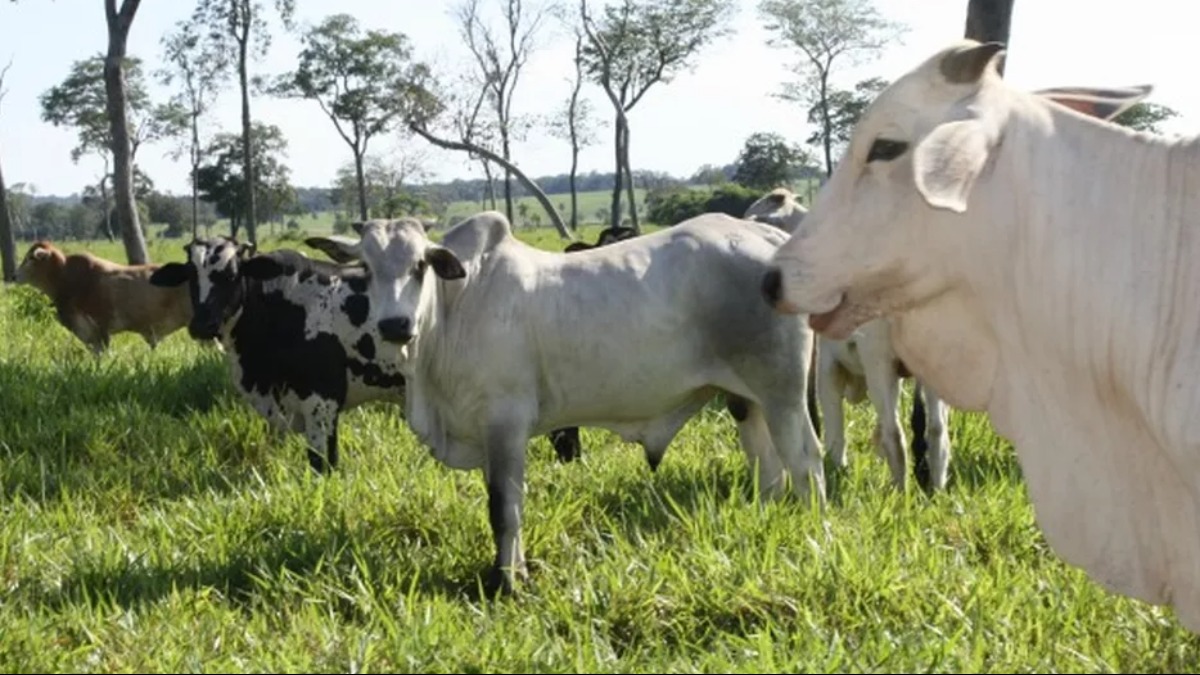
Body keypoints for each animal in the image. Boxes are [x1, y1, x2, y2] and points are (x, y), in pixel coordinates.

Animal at [307, 210, 824, 597]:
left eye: (420, 265)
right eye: (365, 269)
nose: (396, 325)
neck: (454, 310)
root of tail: (767, 235)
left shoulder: (505, 421)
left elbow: (503, 508)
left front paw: (507, 583)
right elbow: (507, 505)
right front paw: (513, 570)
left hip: (783, 392)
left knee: (806, 461)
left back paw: (812, 528)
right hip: (748, 399)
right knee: (769, 468)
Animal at [747, 188, 952, 492]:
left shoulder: (827, 365)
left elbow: (832, 425)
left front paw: (837, 469)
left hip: (878, 361)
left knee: (895, 433)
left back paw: (901, 492)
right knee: (937, 430)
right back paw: (936, 489)